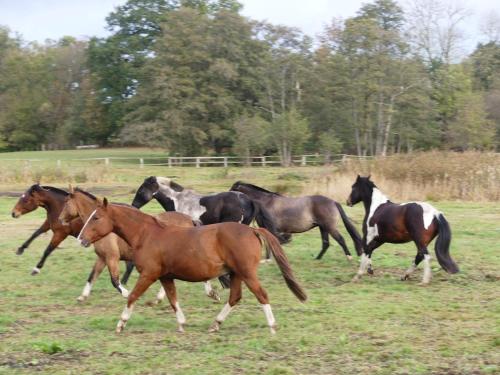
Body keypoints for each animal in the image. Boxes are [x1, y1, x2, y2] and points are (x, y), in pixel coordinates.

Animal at [56, 187, 223, 304]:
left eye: (66, 202)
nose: (60, 219)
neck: (109, 227)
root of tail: (190, 220)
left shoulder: (112, 257)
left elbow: (114, 280)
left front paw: (127, 293)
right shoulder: (102, 258)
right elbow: (92, 277)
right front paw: (82, 297)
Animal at [78, 198, 306, 336]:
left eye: (96, 217)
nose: (81, 239)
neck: (147, 235)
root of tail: (252, 231)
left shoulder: (149, 274)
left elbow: (133, 296)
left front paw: (121, 323)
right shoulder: (165, 277)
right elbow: (172, 300)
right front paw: (181, 324)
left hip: (247, 273)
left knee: (262, 295)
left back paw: (272, 327)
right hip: (236, 274)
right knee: (235, 297)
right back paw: (215, 324)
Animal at [230, 182, 364, 262]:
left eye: (232, 190)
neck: (264, 203)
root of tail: (333, 202)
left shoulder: (269, 228)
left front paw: (269, 259)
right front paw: (268, 259)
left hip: (329, 227)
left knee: (340, 240)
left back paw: (349, 257)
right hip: (323, 228)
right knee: (325, 243)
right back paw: (317, 259)